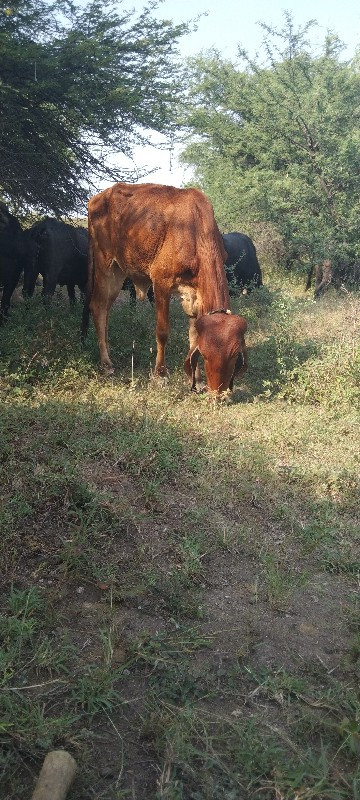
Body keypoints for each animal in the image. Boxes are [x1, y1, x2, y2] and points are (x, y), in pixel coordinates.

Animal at [81, 182, 248, 394]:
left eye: (234, 355)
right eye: (206, 355)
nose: (217, 393)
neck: (195, 232)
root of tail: (95, 200)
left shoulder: (195, 295)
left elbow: (193, 336)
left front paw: (197, 379)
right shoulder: (161, 283)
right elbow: (162, 332)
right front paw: (160, 374)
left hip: (118, 272)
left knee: (106, 312)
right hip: (105, 267)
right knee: (98, 307)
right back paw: (106, 363)